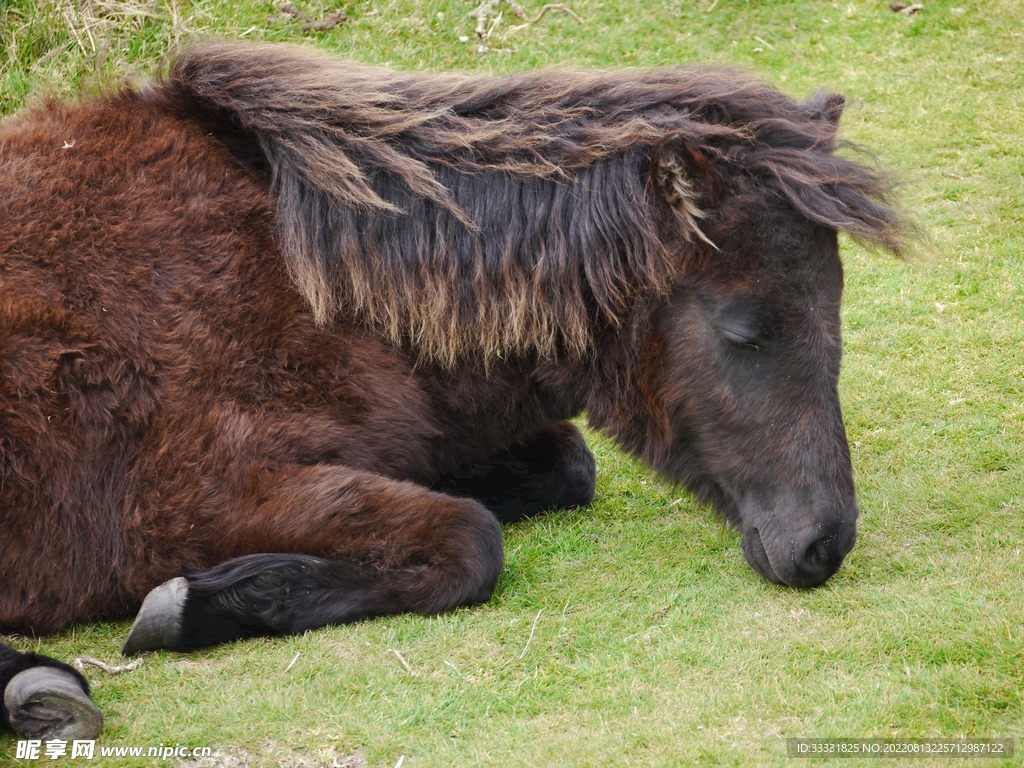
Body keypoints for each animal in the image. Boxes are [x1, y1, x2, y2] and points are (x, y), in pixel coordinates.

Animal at [0, 43, 909, 655]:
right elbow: (470, 541)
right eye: (744, 330)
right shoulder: (193, 499)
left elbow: (565, 467)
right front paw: (190, 605)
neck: (306, 280)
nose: (824, 543)